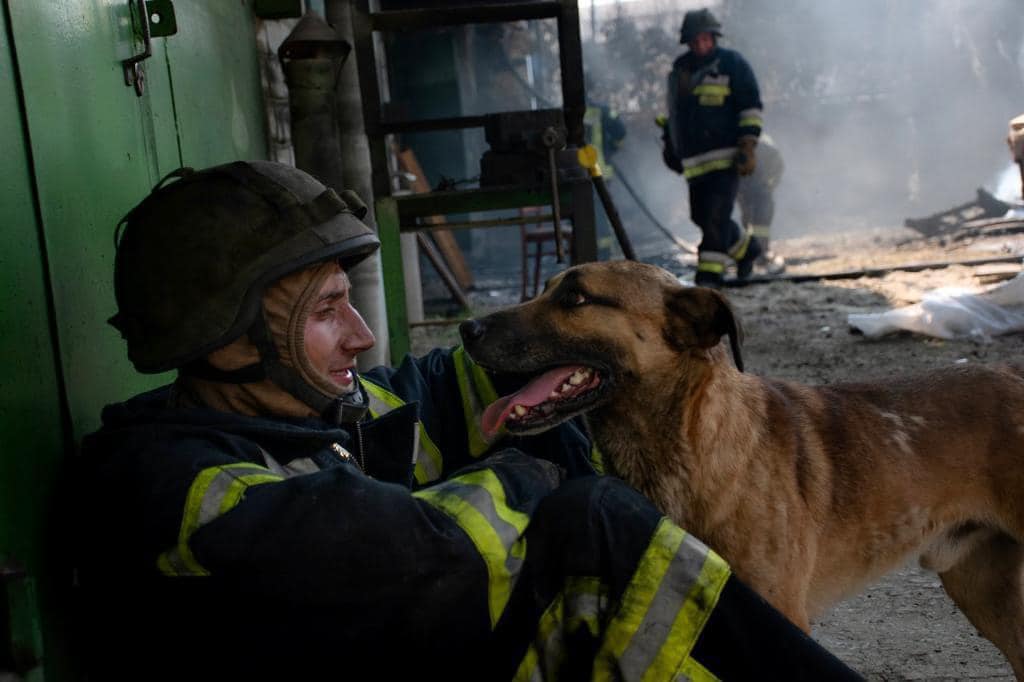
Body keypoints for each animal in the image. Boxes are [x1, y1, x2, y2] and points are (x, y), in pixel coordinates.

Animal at [460, 259, 1024, 675]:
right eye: (545, 288)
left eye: (576, 298)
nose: (466, 328)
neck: (689, 450)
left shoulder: (779, 618)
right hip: (983, 590)